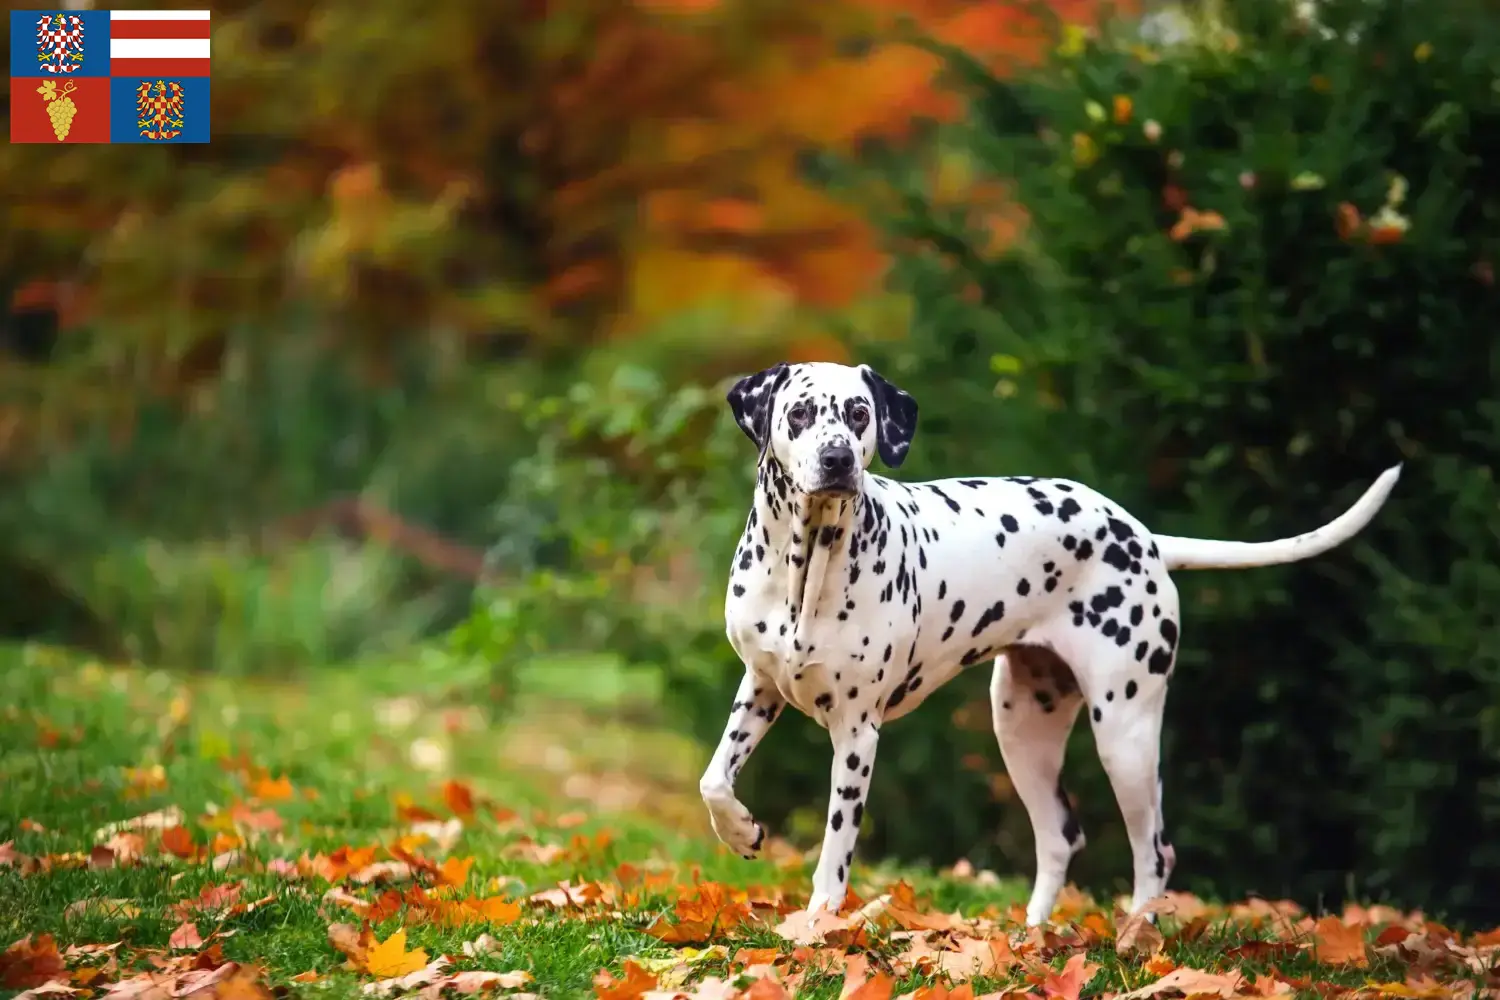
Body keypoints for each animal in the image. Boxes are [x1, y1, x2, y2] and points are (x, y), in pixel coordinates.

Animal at [696, 358, 1398, 923]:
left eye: (859, 413)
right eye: (800, 412)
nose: (838, 458)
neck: (804, 570)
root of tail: (1144, 538)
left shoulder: (857, 734)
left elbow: (835, 851)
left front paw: (816, 927)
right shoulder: (758, 690)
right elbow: (713, 782)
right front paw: (743, 833)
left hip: (1125, 736)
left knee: (1155, 851)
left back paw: (1137, 939)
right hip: (1022, 732)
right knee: (1060, 838)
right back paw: (1031, 937)